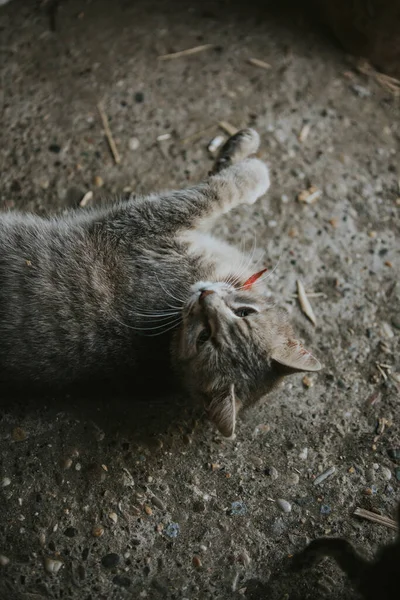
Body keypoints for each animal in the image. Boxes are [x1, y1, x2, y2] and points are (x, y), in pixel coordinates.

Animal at [0, 127, 320, 436]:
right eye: (244, 313)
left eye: (202, 337)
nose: (205, 296)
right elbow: (215, 184)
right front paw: (237, 151)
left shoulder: (144, 222)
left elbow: (217, 191)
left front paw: (250, 169)